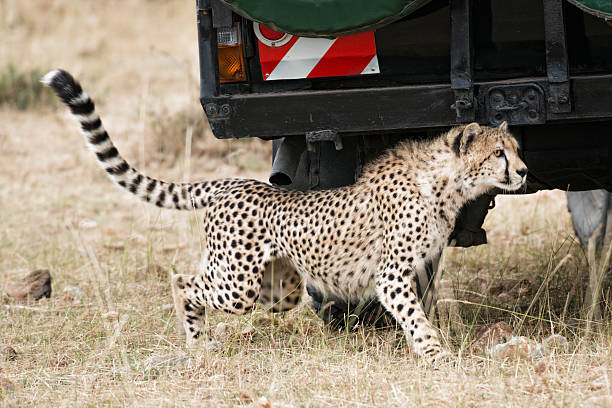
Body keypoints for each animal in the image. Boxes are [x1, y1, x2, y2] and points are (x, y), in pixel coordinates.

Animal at [44, 68, 532, 362]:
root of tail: (232, 183)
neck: (444, 181)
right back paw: (199, 344)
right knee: (183, 281)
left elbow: (427, 307)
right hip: (237, 284)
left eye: (515, 149)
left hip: (279, 289)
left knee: (208, 282)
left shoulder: (424, 262)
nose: (525, 171)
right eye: (498, 154)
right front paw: (436, 355)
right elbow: (415, 316)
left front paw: (437, 343)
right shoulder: (392, 274)